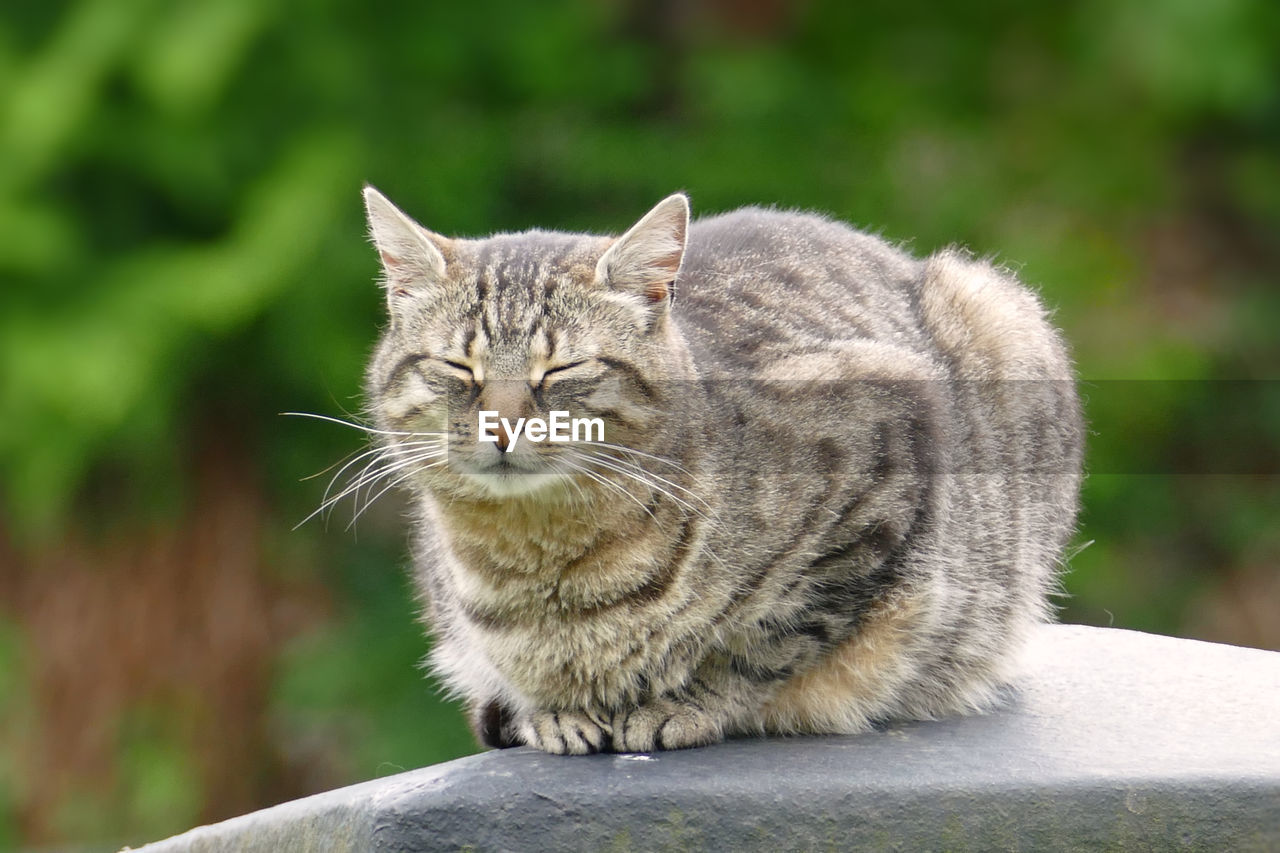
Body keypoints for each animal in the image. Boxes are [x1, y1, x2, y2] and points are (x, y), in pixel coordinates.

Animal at [355, 185, 1085, 753]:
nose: (503, 426)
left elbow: (771, 637)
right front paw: (553, 711)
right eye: (459, 367)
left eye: (562, 368)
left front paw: (684, 702)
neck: (540, 557)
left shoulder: (882, 458)